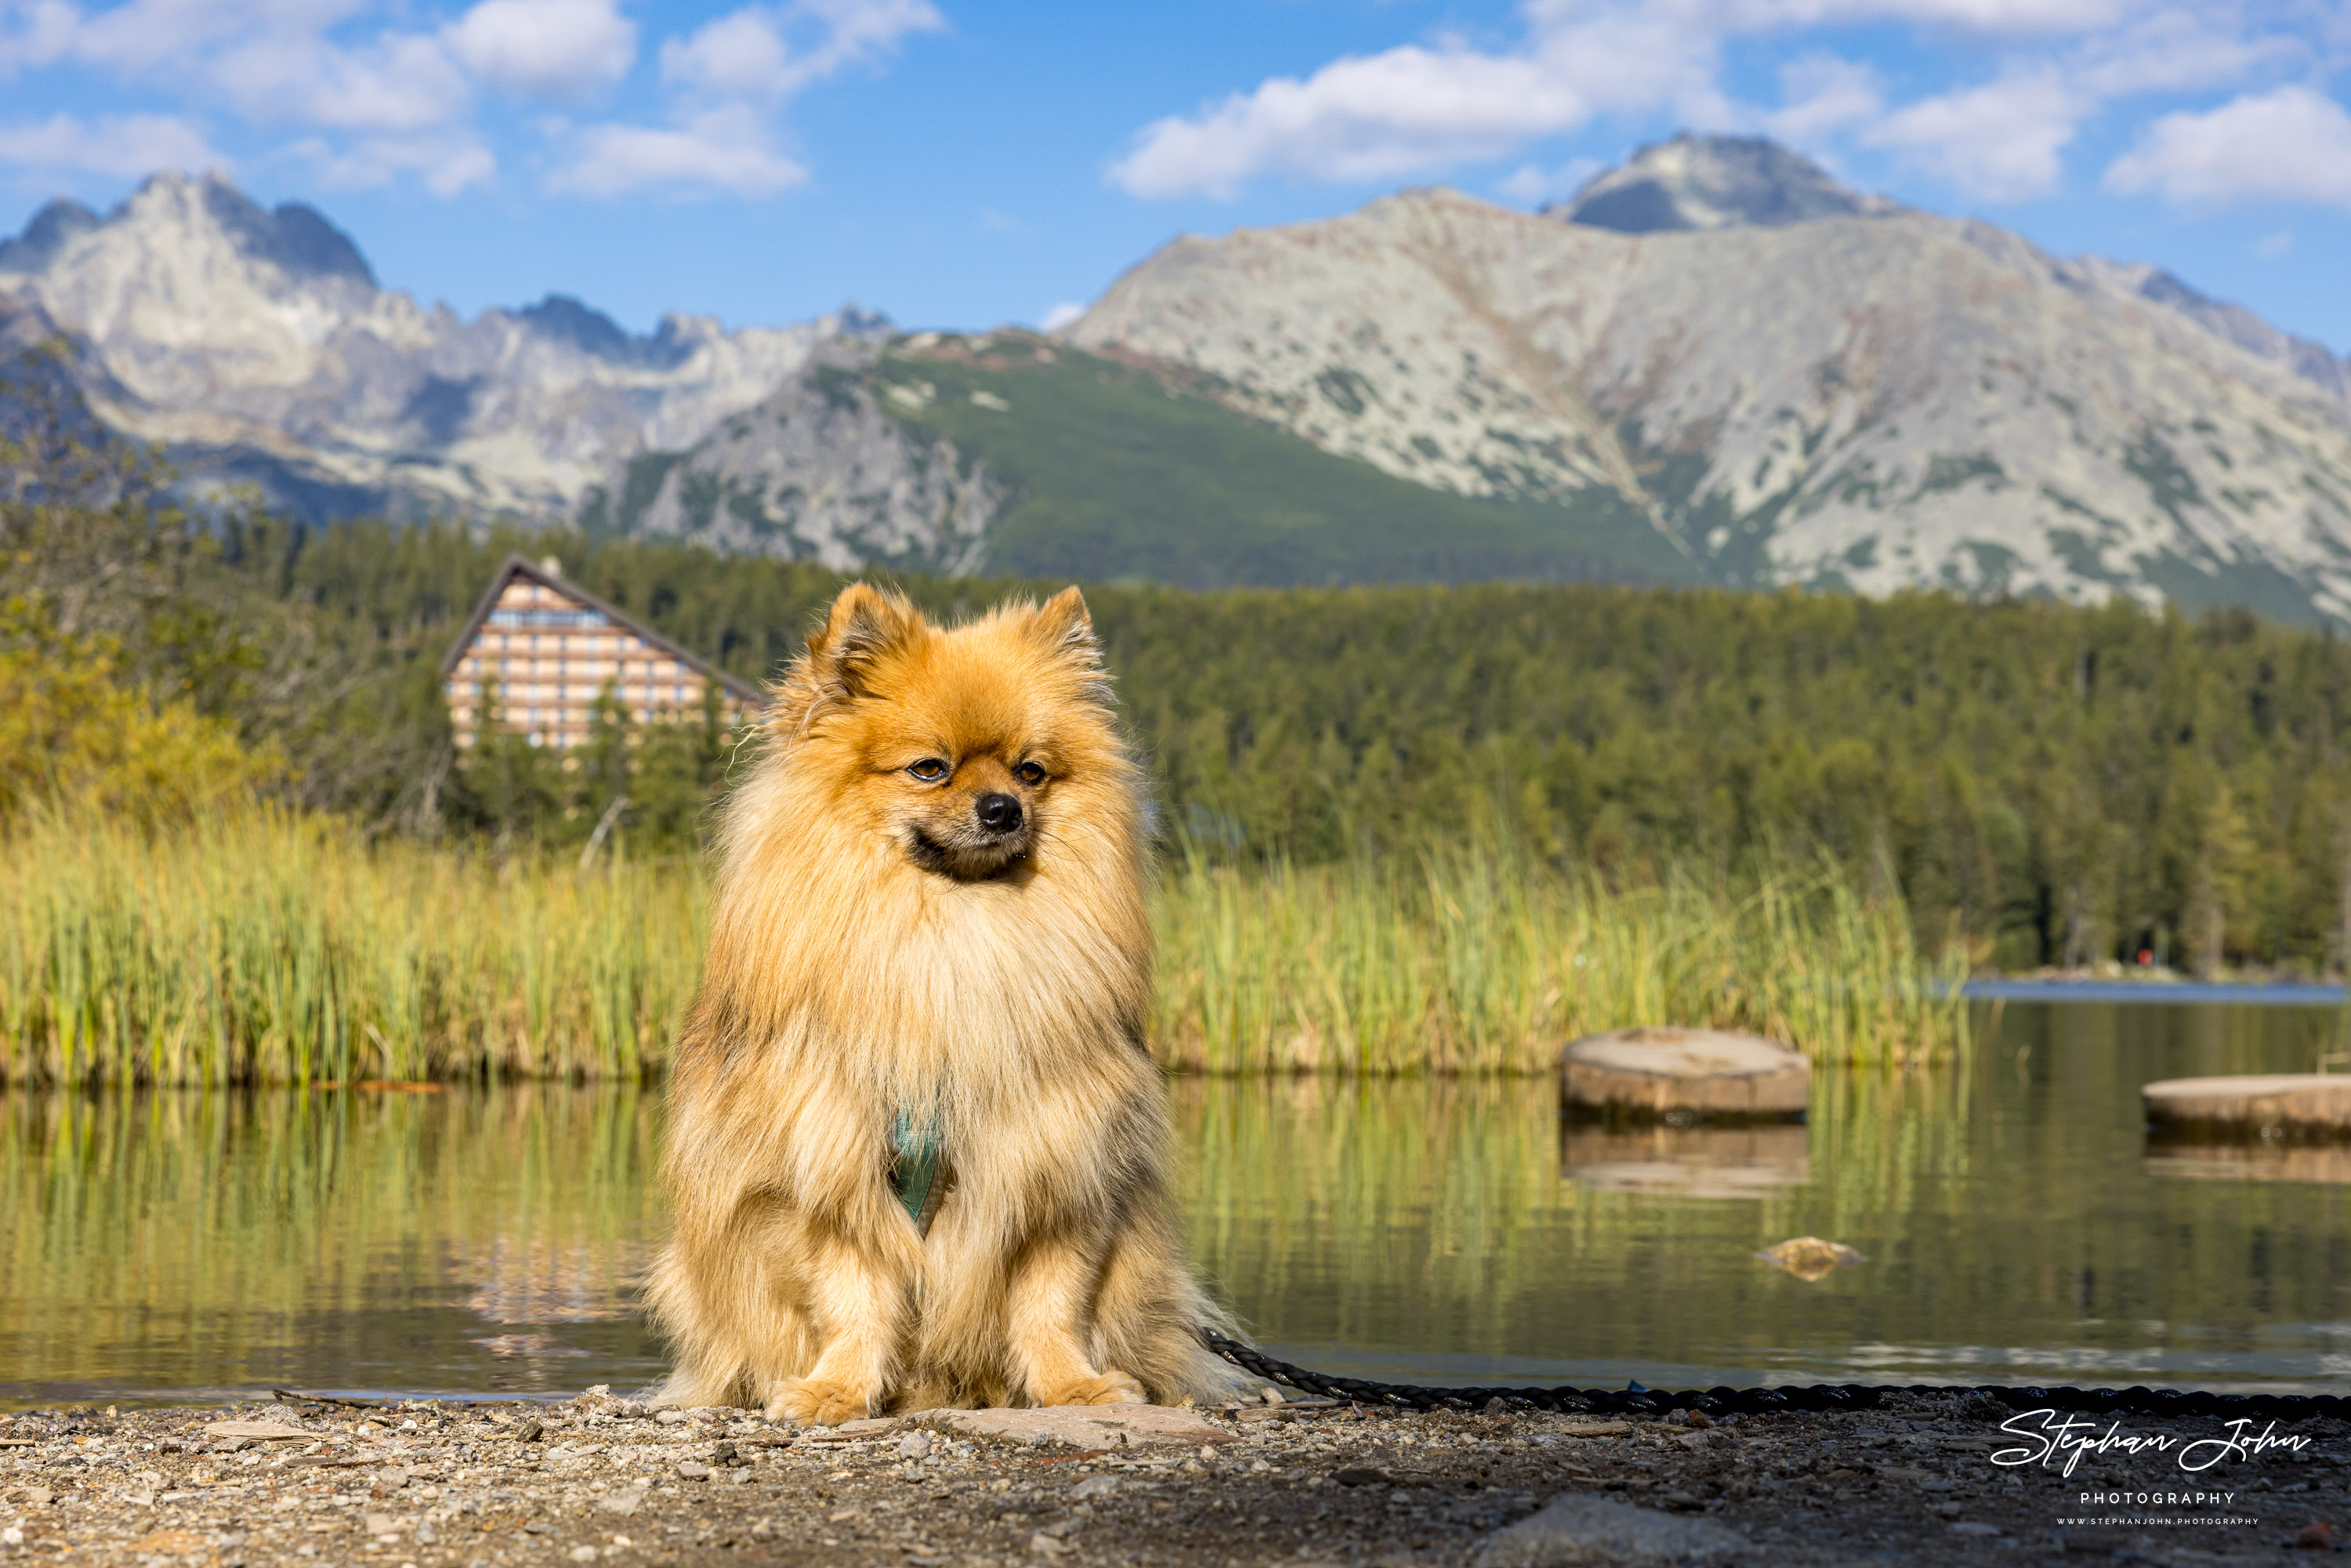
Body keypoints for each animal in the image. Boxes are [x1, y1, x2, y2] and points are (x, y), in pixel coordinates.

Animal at [644, 583, 1232, 1420]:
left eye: (1031, 771)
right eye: (930, 768)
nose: (1002, 808)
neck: (954, 932)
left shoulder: (1062, 1158)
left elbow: (1050, 1297)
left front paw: (1073, 1385)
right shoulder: (828, 1163)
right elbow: (855, 1292)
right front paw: (837, 1389)